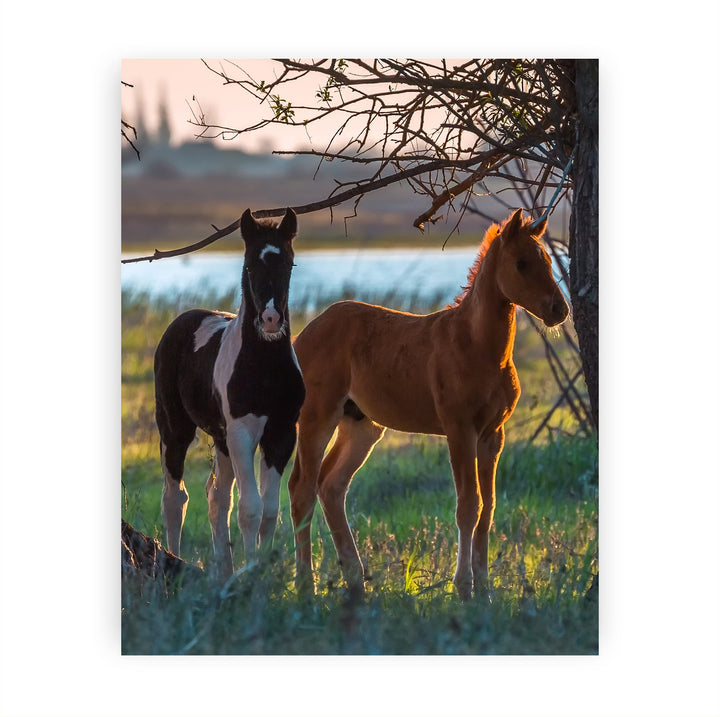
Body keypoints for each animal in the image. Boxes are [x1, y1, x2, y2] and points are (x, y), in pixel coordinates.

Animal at [154, 208, 305, 578]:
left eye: (288, 264)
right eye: (249, 265)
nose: (270, 320)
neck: (264, 367)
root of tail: (182, 320)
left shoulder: (281, 434)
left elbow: (269, 511)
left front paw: (259, 572)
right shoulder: (241, 432)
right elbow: (250, 509)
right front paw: (250, 573)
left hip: (220, 440)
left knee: (216, 497)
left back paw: (223, 570)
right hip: (175, 428)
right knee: (174, 497)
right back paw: (175, 559)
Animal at [288, 208, 569, 600]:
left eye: (547, 260)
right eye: (521, 263)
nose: (560, 310)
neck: (478, 346)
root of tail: (302, 336)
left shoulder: (493, 434)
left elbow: (488, 508)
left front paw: (485, 590)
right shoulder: (459, 429)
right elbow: (468, 505)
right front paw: (463, 587)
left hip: (361, 425)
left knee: (331, 485)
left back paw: (356, 580)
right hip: (317, 416)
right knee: (302, 489)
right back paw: (306, 586)